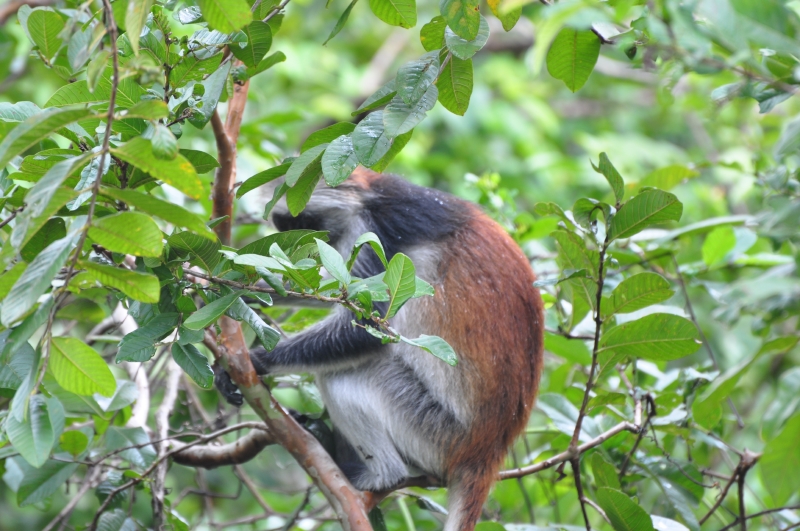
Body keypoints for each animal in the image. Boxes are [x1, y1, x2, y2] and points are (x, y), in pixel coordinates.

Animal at [216, 167, 544, 531]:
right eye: (285, 227)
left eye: (305, 223)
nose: (298, 251)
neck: (375, 196)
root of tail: (487, 453)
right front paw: (238, 288)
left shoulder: (378, 232)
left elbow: (366, 330)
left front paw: (256, 361)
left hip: (437, 432)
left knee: (343, 377)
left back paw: (379, 476)